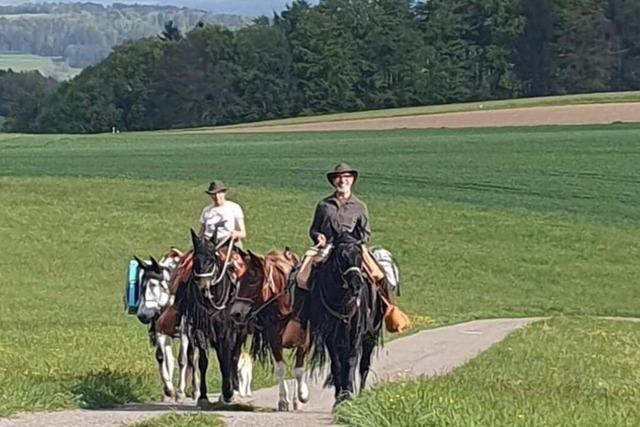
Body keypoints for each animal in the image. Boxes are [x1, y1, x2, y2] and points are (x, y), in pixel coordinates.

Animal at [176, 229, 249, 406]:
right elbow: (203, 362)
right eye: (196, 260)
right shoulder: (200, 330)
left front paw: (228, 392)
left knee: (234, 356)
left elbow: (227, 359)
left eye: (212, 260)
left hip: (240, 330)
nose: (203, 286)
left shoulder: (227, 331)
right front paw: (203, 396)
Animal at [230, 249, 310, 412]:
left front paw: (301, 395)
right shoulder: (274, 339)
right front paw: (283, 400)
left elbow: (299, 369)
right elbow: (280, 368)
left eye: (252, 281)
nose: (236, 313)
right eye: (238, 281)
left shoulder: (304, 340)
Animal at [308, 239, 382, 410]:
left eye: (360, 255)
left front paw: (348, 395)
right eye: (341, 257)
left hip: (370, 336)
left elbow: (351, 361)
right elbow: (337, 365)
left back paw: (360, 393)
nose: (357, 285)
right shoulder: (330, 338)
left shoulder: (356, 334)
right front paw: (339, 398)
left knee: (364, 365)